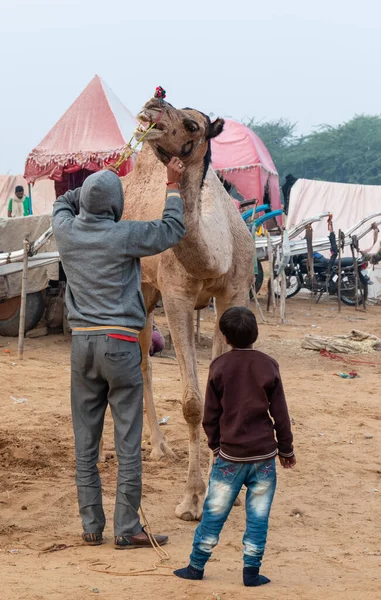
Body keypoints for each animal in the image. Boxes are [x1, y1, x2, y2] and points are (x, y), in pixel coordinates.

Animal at [120, 97, 254, 520]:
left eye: (193, 124)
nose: (152, 106)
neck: (214, 255)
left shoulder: (234, 294)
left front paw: (227, 487)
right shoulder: (177, 297)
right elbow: (193, 403)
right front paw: (193, 498)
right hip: (142, 288)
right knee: (140, 361)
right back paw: (156, 449)